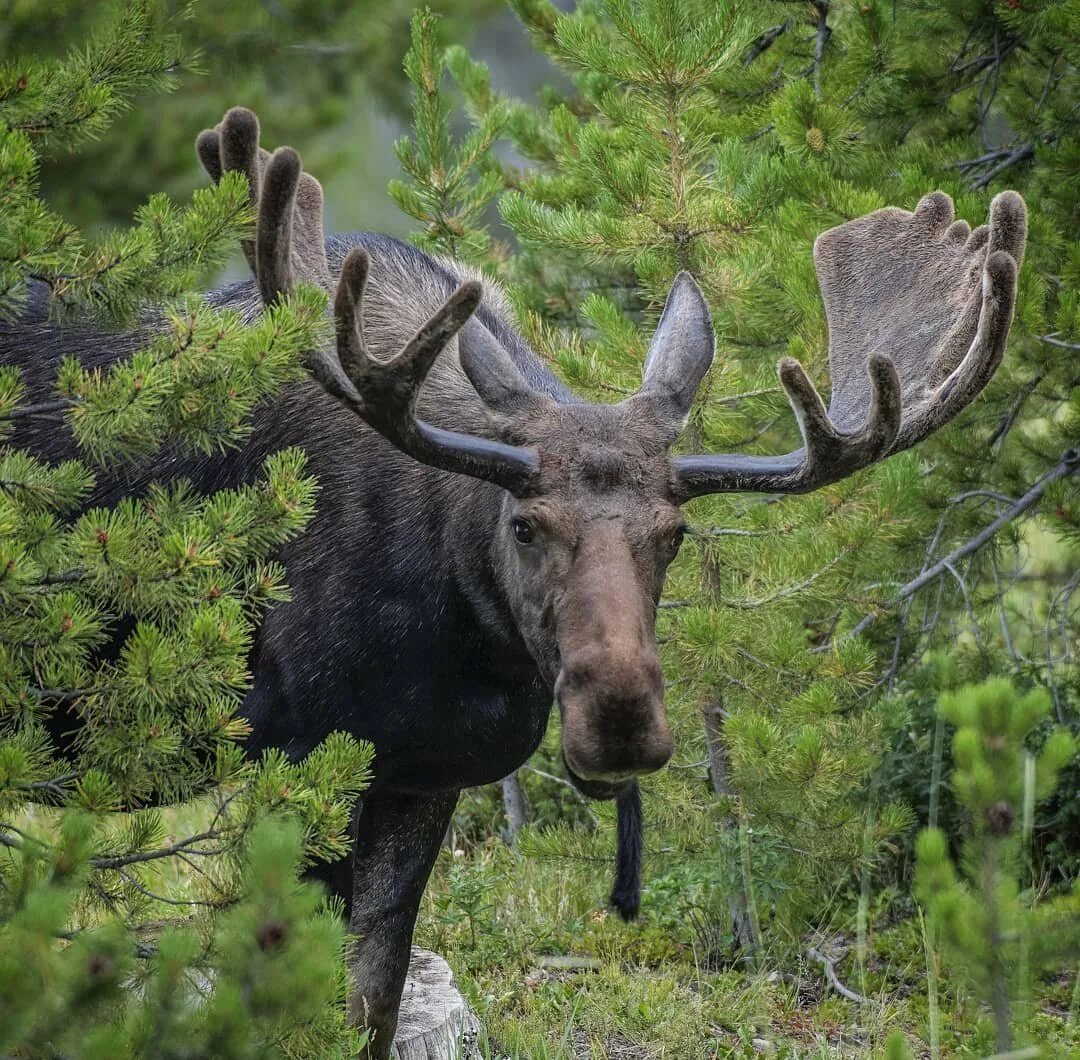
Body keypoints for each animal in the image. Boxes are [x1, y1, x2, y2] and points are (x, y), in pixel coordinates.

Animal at [2, 109, 1028, 1058]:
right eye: (525, 524)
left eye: (676, 533)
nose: (619, 720)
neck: (466, 636)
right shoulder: (296, 756)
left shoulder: (419, 769)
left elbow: (371, 1001)